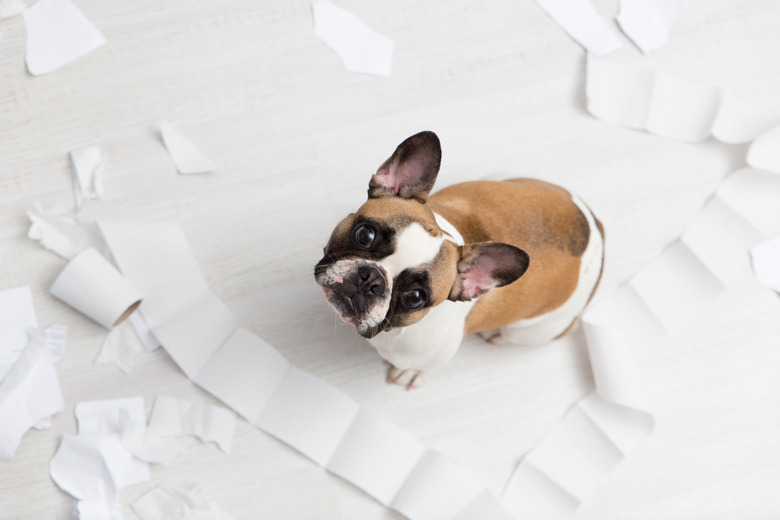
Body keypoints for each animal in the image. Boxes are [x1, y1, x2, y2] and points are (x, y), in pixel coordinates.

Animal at [314, 132, 608, 388]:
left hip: (532, 332)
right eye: (365, 234)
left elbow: (424, 367)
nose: (370, 279)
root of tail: (598, 231)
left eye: (415, 297)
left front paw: (411, 372)